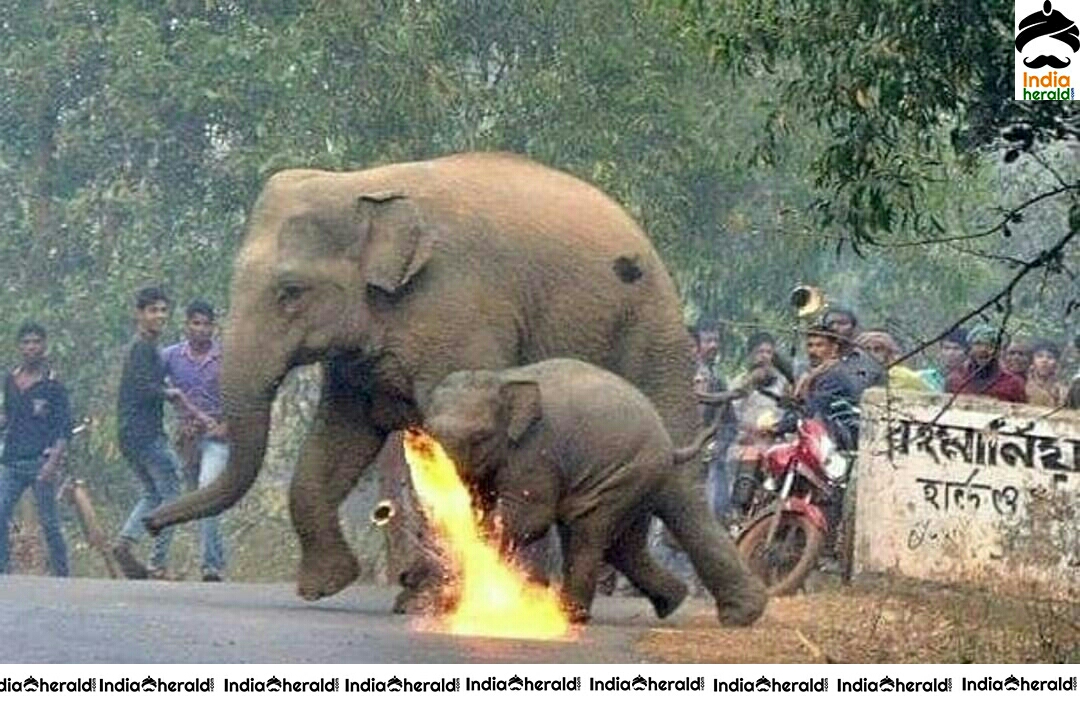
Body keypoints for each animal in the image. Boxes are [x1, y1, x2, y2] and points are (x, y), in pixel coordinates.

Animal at [144, 151, 711, 607]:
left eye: (290, 291)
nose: (150, 522)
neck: (364, 185)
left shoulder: (456, 312)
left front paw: (424, 594)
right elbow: (340, 439)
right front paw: (326, 586)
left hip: (652, 333)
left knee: (672, 475)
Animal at [422, 358, 767, 625]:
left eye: (480, 436)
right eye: (427, 433)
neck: (502, 379)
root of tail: (667, 442)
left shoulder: (535, 450)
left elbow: (530, 518)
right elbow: (481, 504)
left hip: (625, 474)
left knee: (588, 531)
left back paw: (571, 616)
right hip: (641, 477)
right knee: (631, 543)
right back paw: (684, 603)